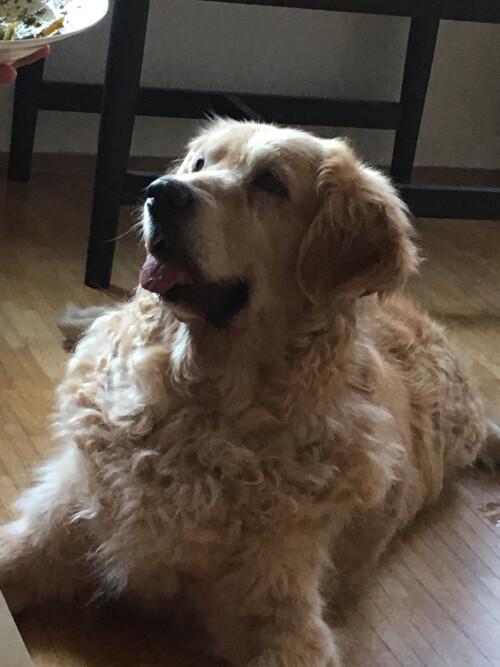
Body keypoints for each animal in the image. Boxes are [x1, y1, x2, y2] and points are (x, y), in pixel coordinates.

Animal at [1, 119, 498, 666]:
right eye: (200, 164)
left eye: (270, 182)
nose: (160, 192)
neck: (199, 399)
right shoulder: (70, 515)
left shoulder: (281, 610)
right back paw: (77, 320)